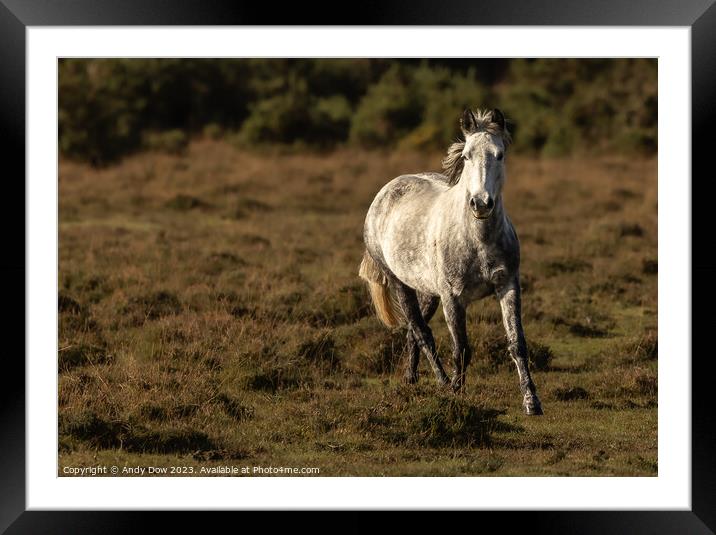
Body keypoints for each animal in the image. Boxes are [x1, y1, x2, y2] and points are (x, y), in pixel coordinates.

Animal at [358, 109, 544, 416]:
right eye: (467, 156)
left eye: (500, 155)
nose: (481, 204)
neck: (478, 239)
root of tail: (386, 191)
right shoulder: (453, 298)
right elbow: (462, 349)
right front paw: (457, 394)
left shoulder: (508, 286)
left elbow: (517, 343)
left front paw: (532, 402)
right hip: (400, 283)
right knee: (421, 332)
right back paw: (443, 383)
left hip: (427, 290)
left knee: (413, 332)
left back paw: (411, 378)